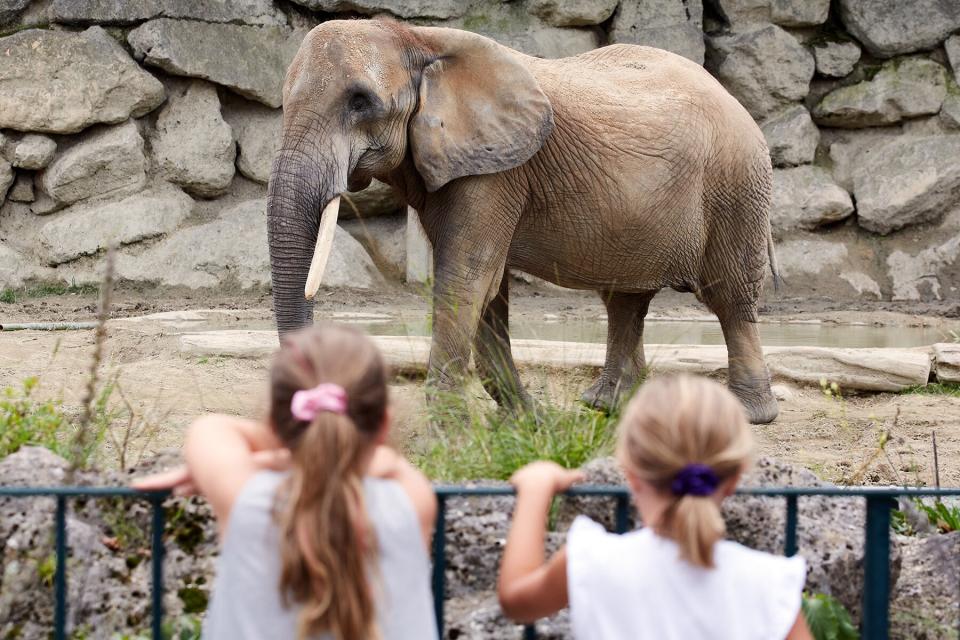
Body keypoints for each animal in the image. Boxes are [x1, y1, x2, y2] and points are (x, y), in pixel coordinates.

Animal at [268, 18, 780, 424]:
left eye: (360, 102)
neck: (416, 38)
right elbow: (487, 288)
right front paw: (526, 419)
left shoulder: (497, 171)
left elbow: (467, 276)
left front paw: (451, 429)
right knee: (625, 300)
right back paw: (604, 404)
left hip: (736, 187)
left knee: (730, 295)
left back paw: (749, 414)